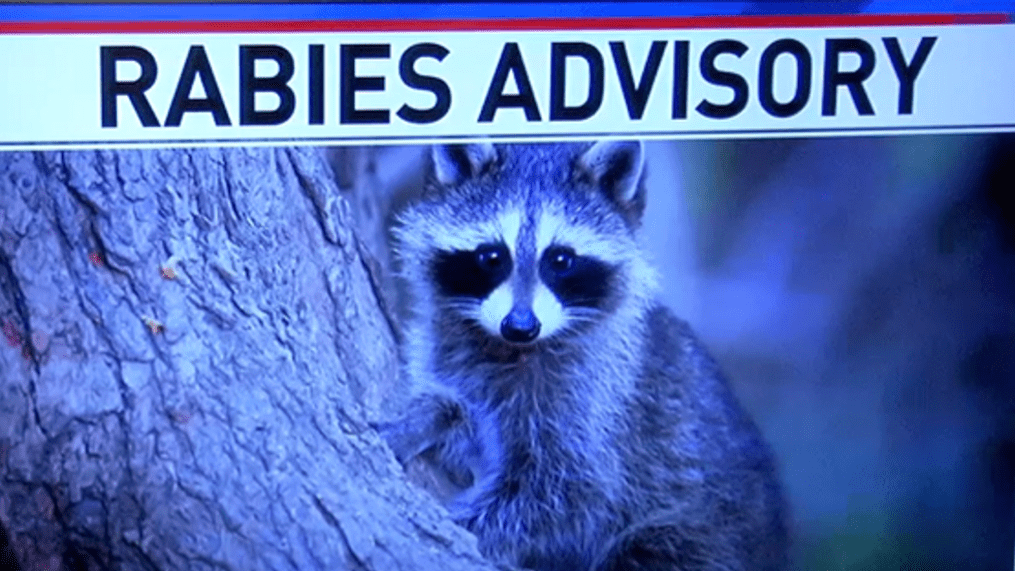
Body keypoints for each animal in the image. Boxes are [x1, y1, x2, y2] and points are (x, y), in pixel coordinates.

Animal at [379, 141, 788, 571]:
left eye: (560, 260)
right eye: (492, 257)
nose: (520, 326)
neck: (511, 349)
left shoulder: (594, 404)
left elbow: (568, 497)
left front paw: (460, 521)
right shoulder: (446, 353)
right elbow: (458, 412)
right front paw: (437, 414)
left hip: (702, 535)